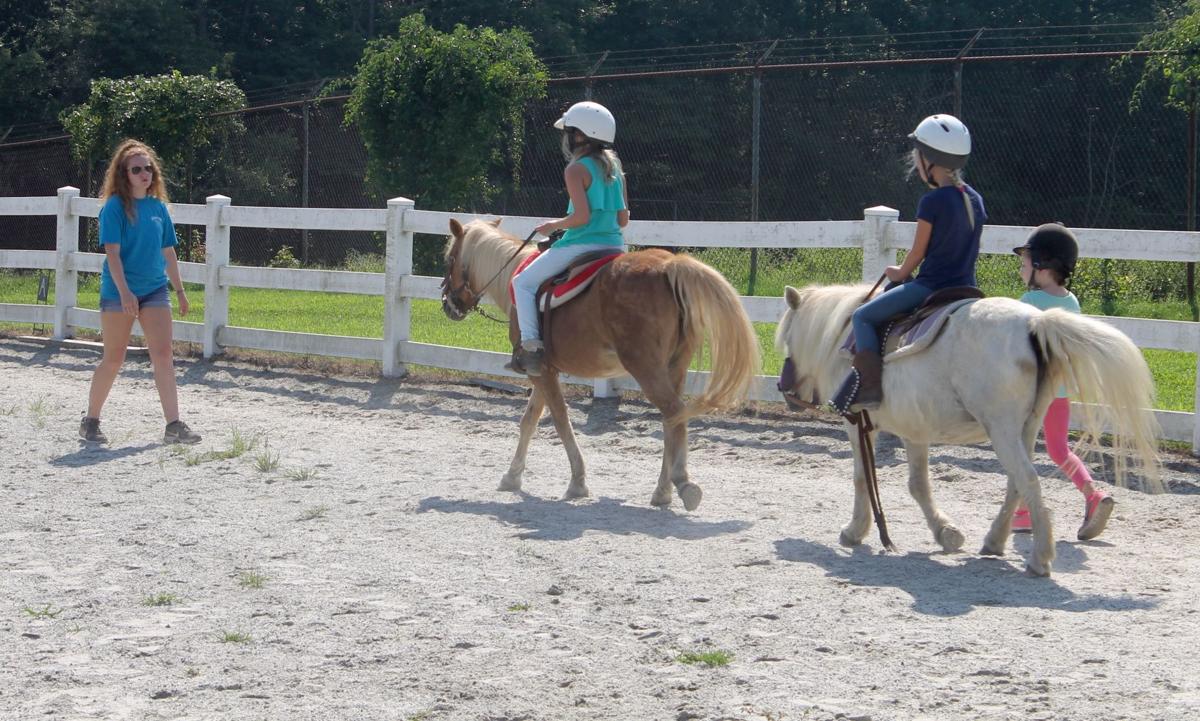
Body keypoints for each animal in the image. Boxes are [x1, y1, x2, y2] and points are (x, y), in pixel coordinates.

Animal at [441, 218, 761, 510]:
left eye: (450, 259)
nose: (447, 303)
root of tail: (669, 266)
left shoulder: (543, 373)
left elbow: (560, 421)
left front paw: (577, 482)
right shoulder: (542, 369)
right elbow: (529, 421)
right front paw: (512, 477)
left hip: (646, 369)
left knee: (673, 412)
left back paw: (683, 483)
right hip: (674, 368)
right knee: (672, 419)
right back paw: (662, 491)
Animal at [774, 283, 1160, 576]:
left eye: (789, 338)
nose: (784, 388)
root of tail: (1034, 322)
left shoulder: (858, 426)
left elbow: (860, 478)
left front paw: (855, 531)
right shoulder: (914, 430)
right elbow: (918, 484)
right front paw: (946, 534)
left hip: (1002, 429)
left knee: (1027, 480)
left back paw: (1039, 558)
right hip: (1025, 428)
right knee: (1016, 484)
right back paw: (994, 541)